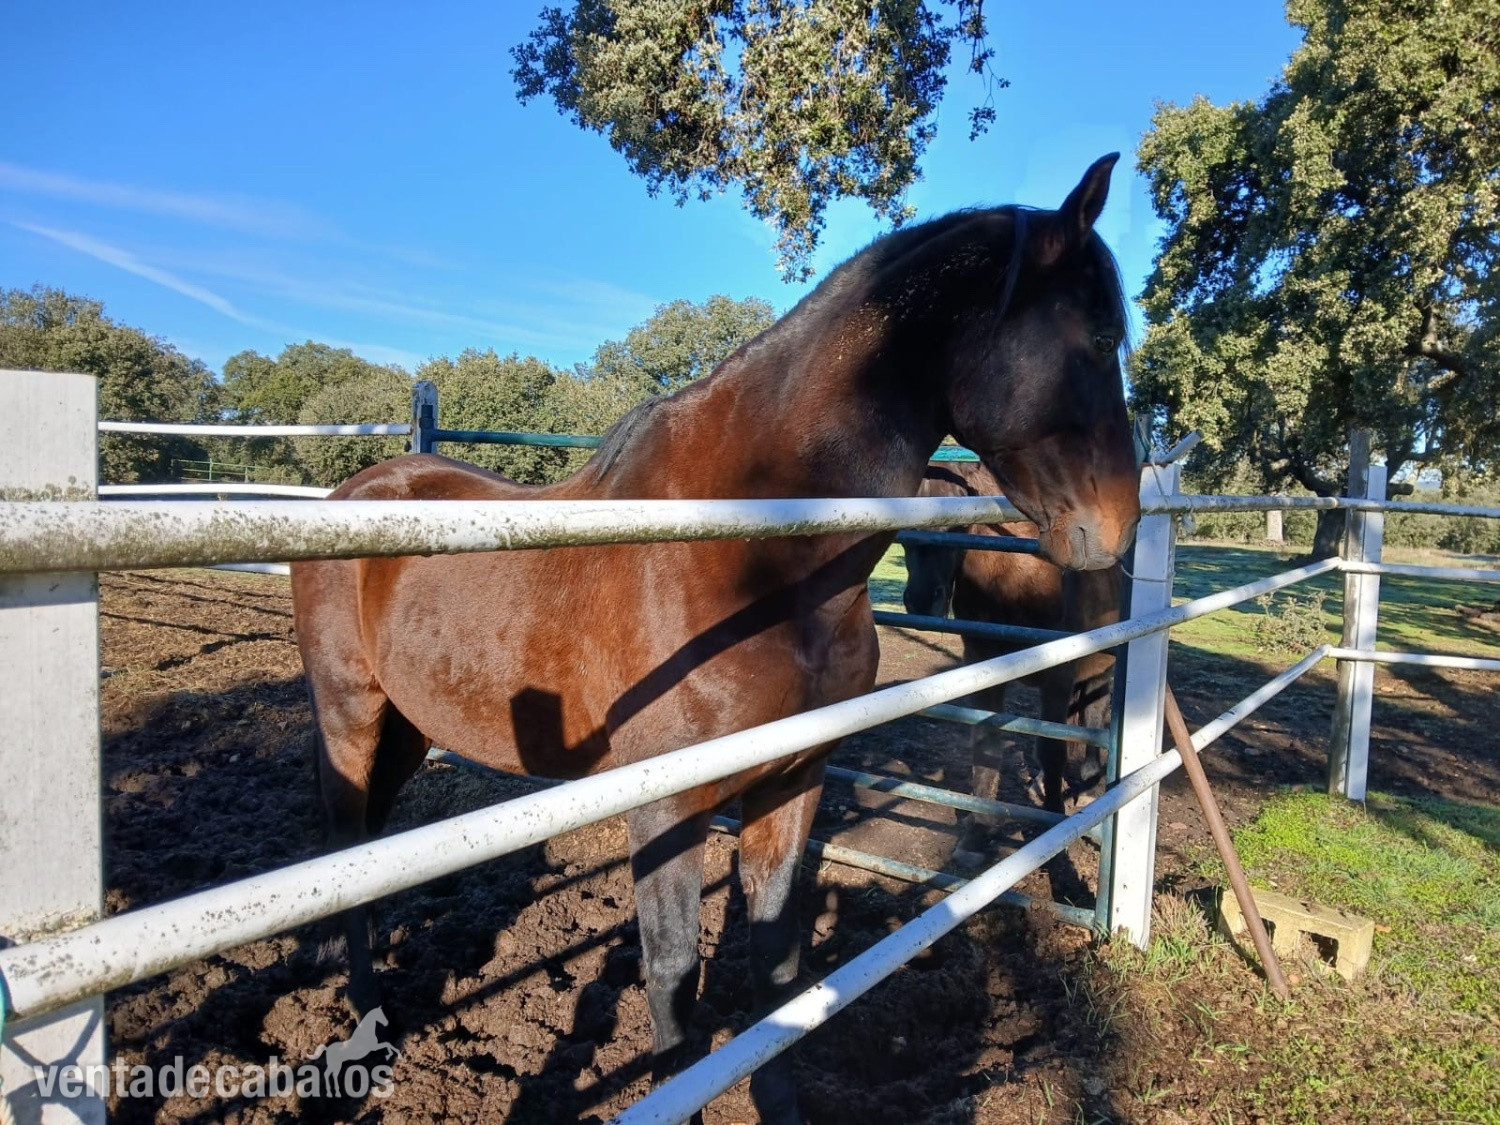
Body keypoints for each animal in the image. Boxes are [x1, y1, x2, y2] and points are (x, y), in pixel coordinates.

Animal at [904, 460, 1121, 864]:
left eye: (956, 524)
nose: (922, 600)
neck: (1013, 576)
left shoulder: (1058, 674)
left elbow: (1052, 748)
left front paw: (1053, 828)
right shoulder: (984, 668)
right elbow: (987, 748)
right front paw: (977, 834)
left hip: (1100, 670)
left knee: (1094, 719)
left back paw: (1088, 786)